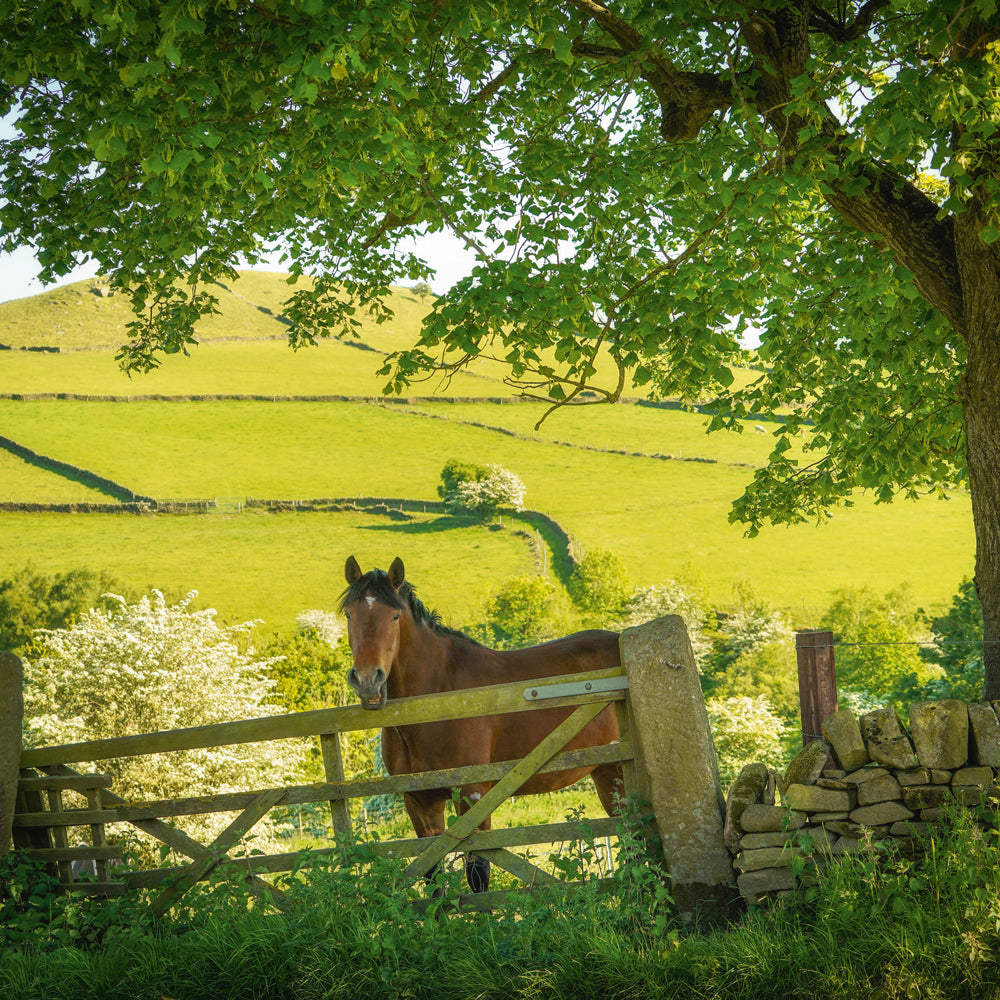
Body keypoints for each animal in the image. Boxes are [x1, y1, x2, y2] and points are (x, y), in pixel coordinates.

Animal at [339, 555, 625, 893]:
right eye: (349, 614)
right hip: (606, 772)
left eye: (395, 616)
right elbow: (433, 875)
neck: (438, 695)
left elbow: (478, 874)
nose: (368, 681)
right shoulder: (419, 803)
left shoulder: (473, 796)